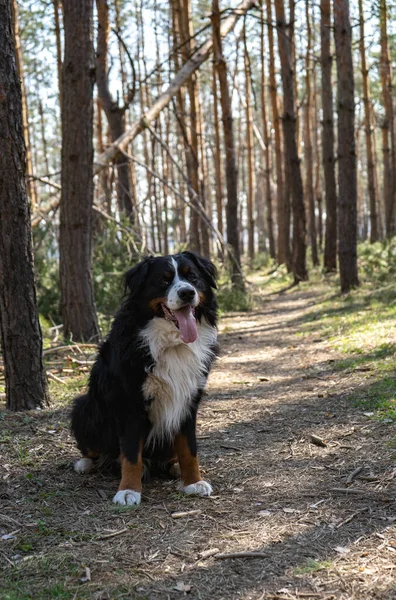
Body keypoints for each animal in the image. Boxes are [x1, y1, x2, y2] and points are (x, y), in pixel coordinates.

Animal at [72, 250, 220, 506]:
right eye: (164, 280)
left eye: (192, 277)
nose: (187, 293)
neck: (172, 344)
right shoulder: (130, 403)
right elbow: (132, 454)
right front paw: (128, 490)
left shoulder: (188, 400)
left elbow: (189, 448)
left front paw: (193, 481)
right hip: (83, 407)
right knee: (95, 450)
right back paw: (86, 463)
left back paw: (174, 467)